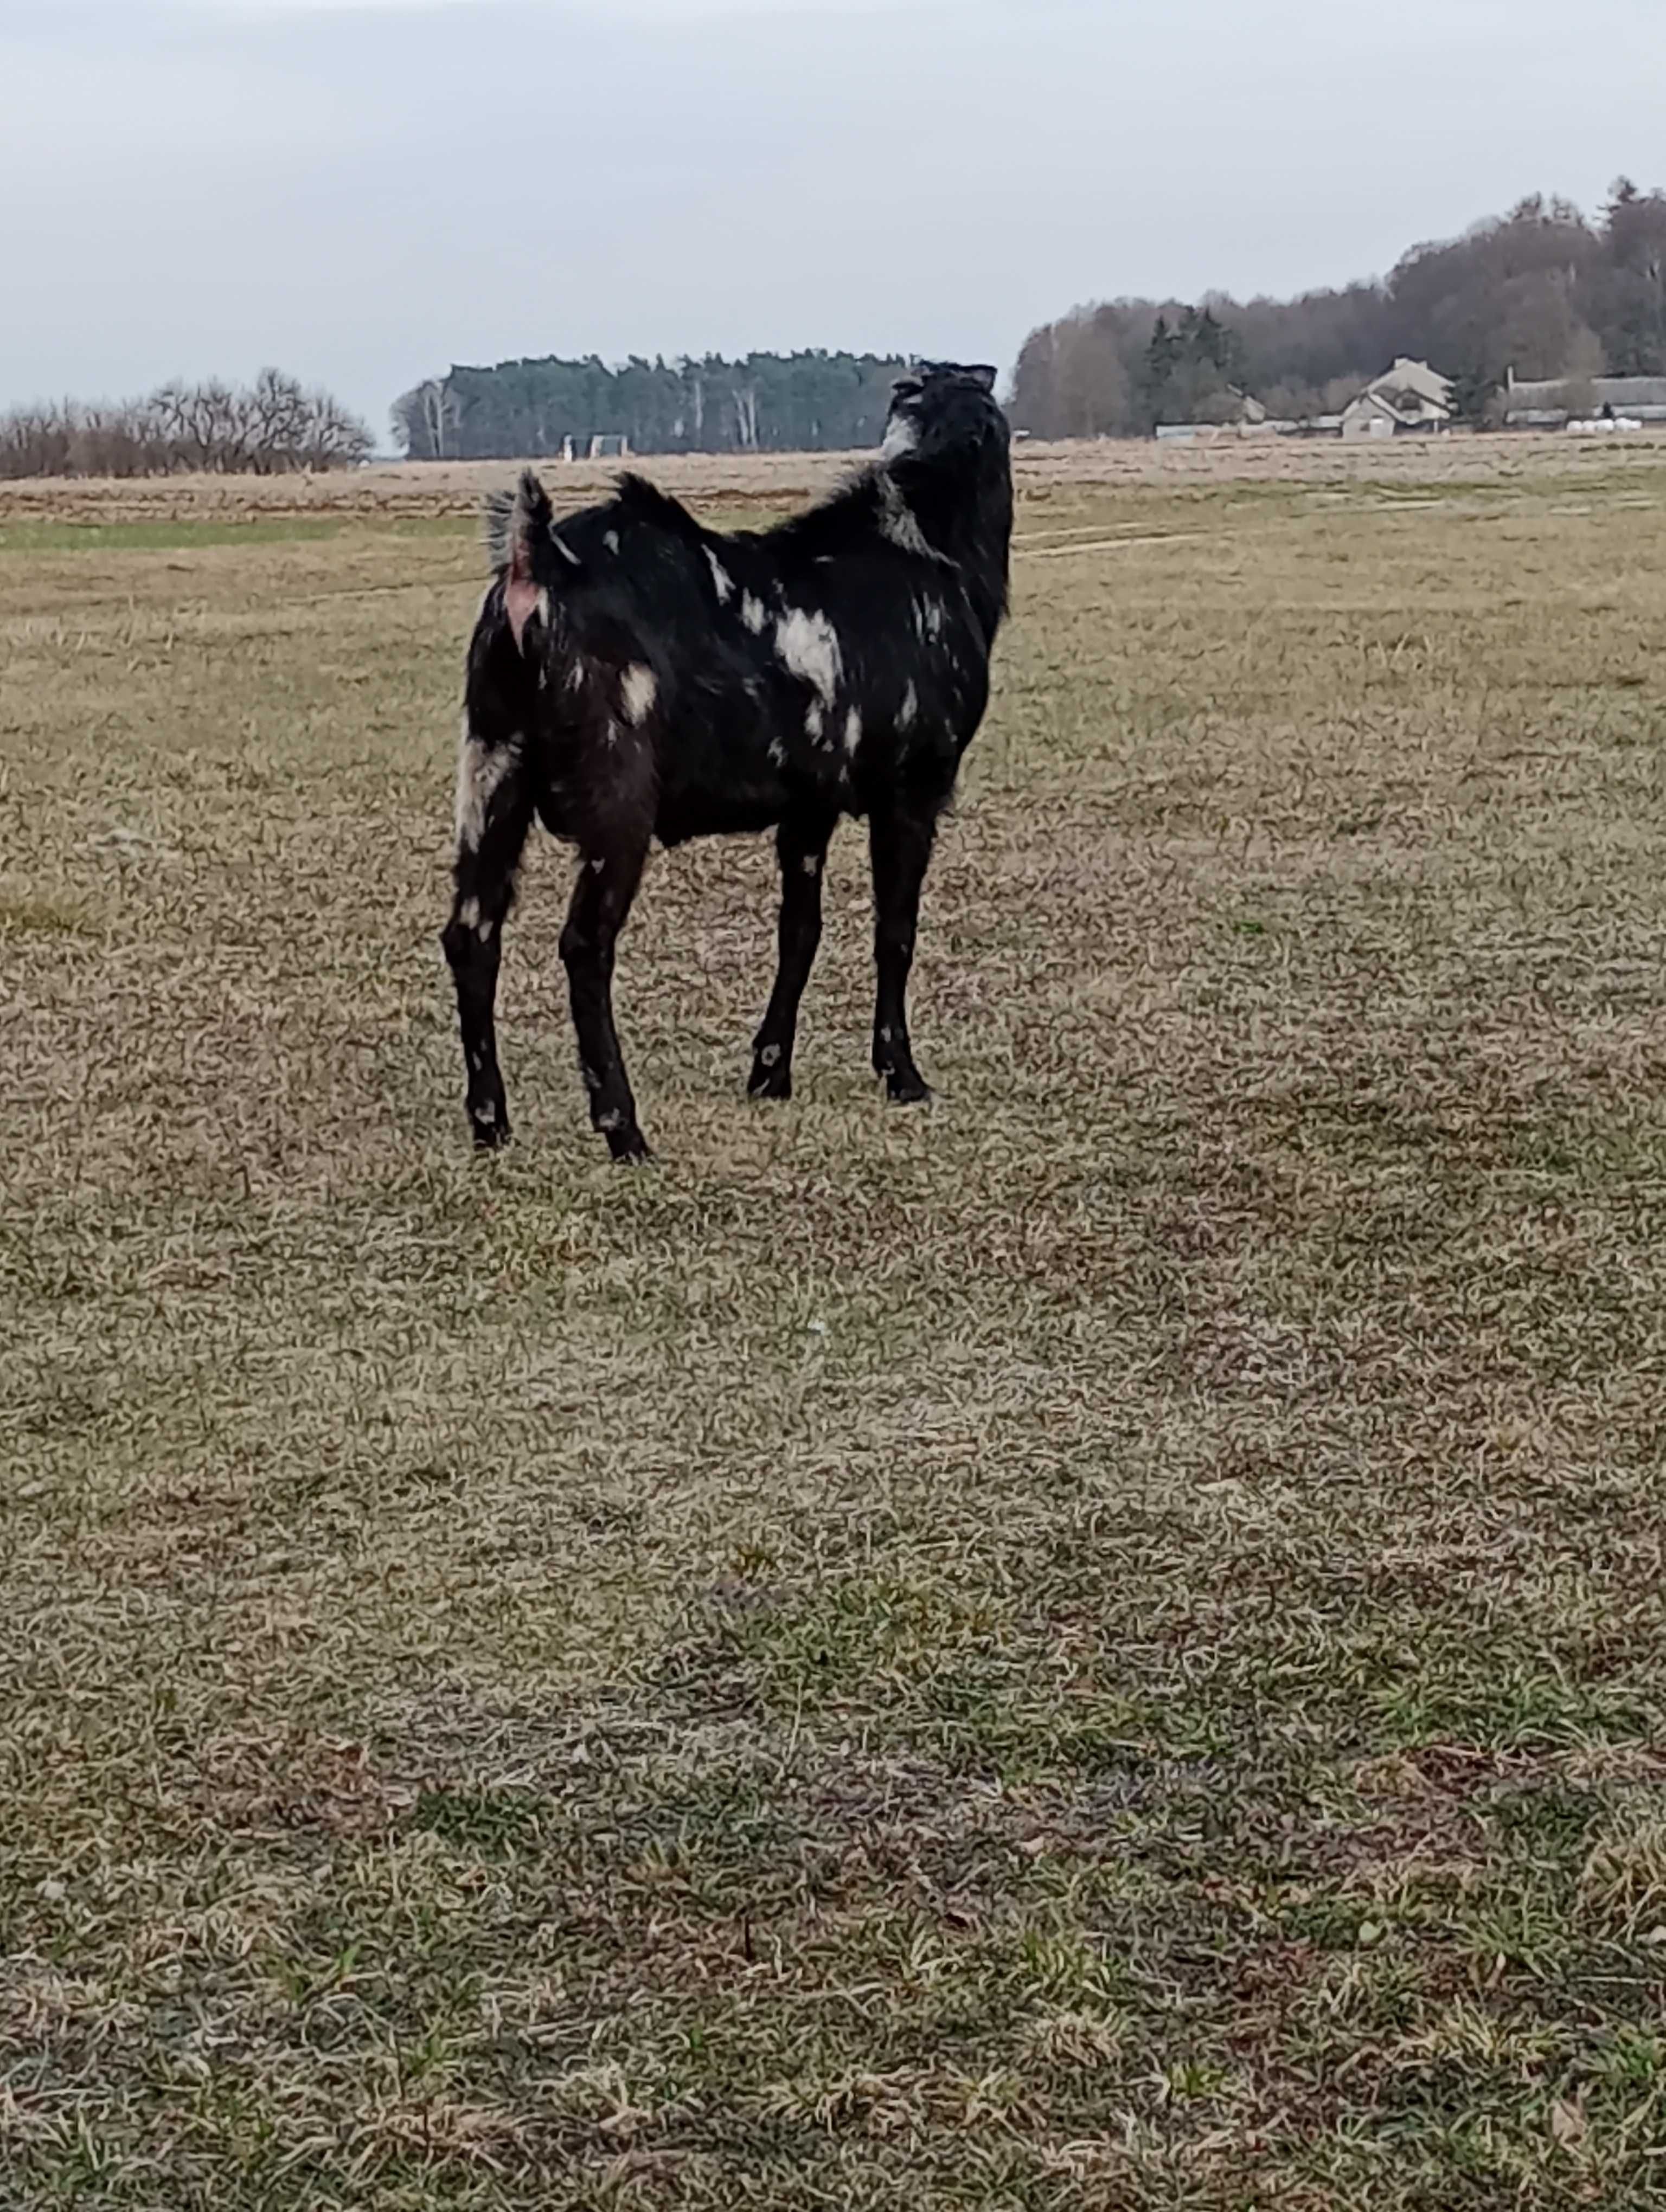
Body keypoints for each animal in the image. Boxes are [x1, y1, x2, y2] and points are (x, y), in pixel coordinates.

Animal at [442, 358, 1009, 1159]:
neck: (923, 550)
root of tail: (537, 560)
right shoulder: (913, 791)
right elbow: (894, 933)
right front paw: (903, 1075)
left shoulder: (808, 809)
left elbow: (799, 933)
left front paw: (771, 1072)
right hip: (617, 799)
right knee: (585, 945)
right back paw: (623, 1127)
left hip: (492, 771)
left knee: (472, 933)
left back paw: (491, 1122)